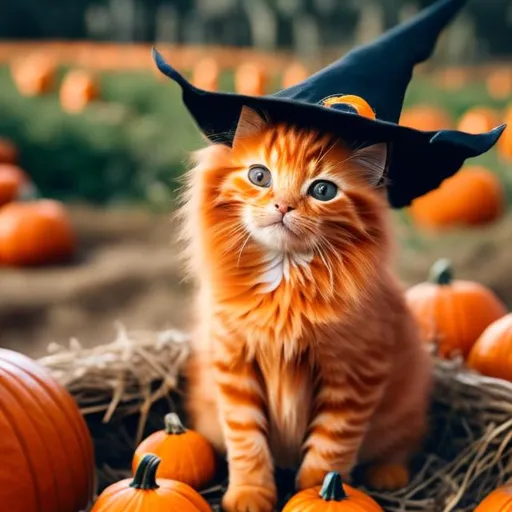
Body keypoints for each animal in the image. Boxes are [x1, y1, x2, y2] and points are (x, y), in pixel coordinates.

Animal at [180, 106, 432, 510]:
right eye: (259, 176)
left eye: (322, 190)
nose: (282, 205)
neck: (285, 281)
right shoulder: (233, 364)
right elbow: (246, 440)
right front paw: (250, 493)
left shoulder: (356, 375)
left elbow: (329, 450)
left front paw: (321, 493)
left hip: (405, 405)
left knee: (405, 442)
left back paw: (389, 473)